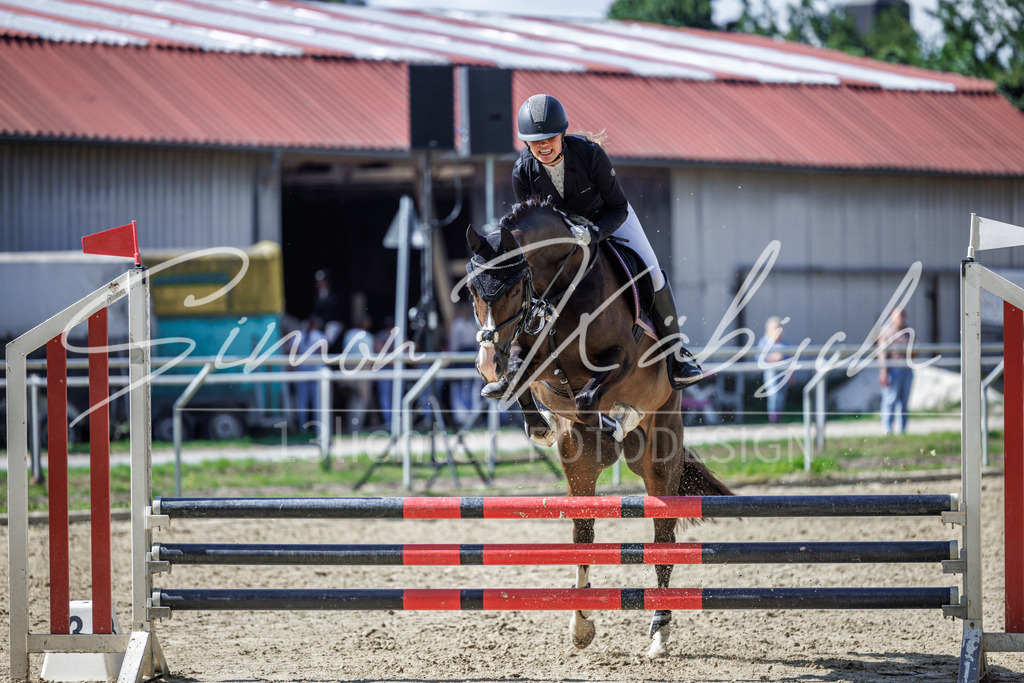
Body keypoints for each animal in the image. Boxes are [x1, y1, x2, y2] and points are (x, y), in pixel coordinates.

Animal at [464, 197, 732, 659]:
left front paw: (612, 418)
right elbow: (520, 378)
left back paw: (659, 630)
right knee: (584, 531)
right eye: (472, 292)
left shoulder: (621, 360)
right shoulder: (535, 360)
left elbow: (589, 397)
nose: (485, 364)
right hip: (579, 465)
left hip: (661, 455)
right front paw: (537, 423)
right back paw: (582, 621)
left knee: (662, 537)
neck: (559, 290)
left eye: (514, 290)